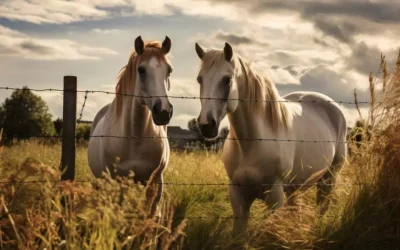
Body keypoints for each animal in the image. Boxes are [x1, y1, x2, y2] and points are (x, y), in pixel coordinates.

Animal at [87, 36, 173, 216]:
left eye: (169, 70)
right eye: (141, 70)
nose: (163, 112)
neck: (135, 136)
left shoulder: (155, 182)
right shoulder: (117, 182)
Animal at [194, 42, 346, 236]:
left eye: (227, 79)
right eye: (200, 79)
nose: (207, 125)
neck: (250, 145)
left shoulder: (274, 194)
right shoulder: (237, 194)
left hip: (329, 178)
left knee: (322, 207)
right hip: (295, 188)